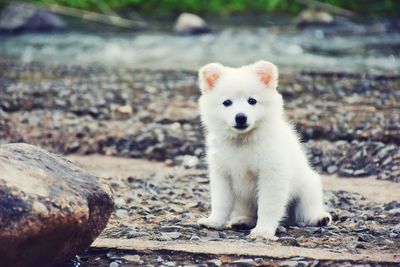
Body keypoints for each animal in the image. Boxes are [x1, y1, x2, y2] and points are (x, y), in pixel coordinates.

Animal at [197, 60, 332, 241]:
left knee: (307, 208)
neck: (243, 140)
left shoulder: (271, 172)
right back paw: (243, 220)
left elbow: (268, 205)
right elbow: (221, 201)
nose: (241, 117)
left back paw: (320, 218)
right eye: (227, 102)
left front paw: (263, 231)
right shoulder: (222, 171)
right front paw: (213, 222)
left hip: (307, 184)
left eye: (252, 100)